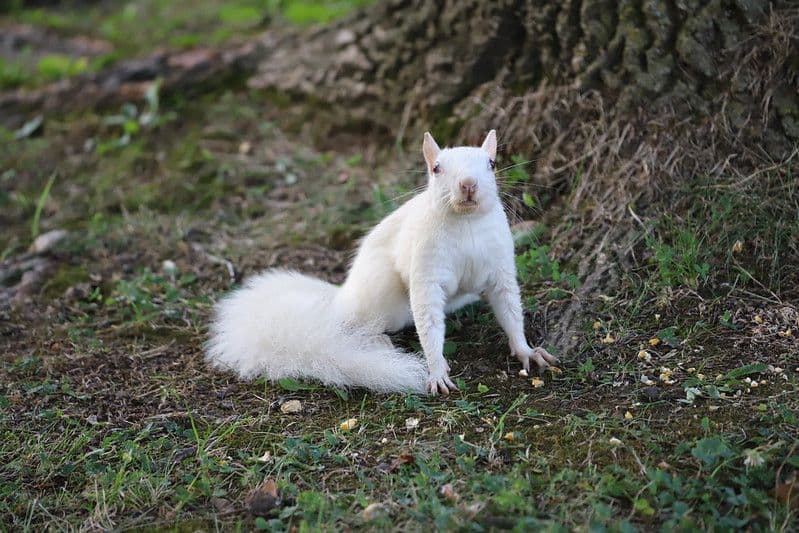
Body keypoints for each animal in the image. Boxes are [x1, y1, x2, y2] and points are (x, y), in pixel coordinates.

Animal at [206, 130, 557, 394]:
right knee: (364, 326)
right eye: (437, 168)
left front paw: (526, 351)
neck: (466, 223)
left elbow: (509, 308)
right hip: (382, 294)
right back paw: (378, 342)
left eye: (492, 163)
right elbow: (428, 321)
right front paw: (436, 370)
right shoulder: (426, 269)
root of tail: (342, 297)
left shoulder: (500, 265)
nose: (468, 184)